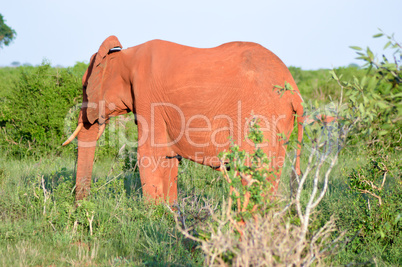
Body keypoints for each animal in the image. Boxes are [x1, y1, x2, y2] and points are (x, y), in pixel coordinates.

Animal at [62, 35, 302, 203]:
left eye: (84, 87)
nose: (82, 206)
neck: (125, 56)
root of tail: (294, 90)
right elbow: (169, 157)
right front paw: (168, 214)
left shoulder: (148, 96)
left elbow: (148, 154)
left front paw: (151, 215)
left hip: (259, 115)